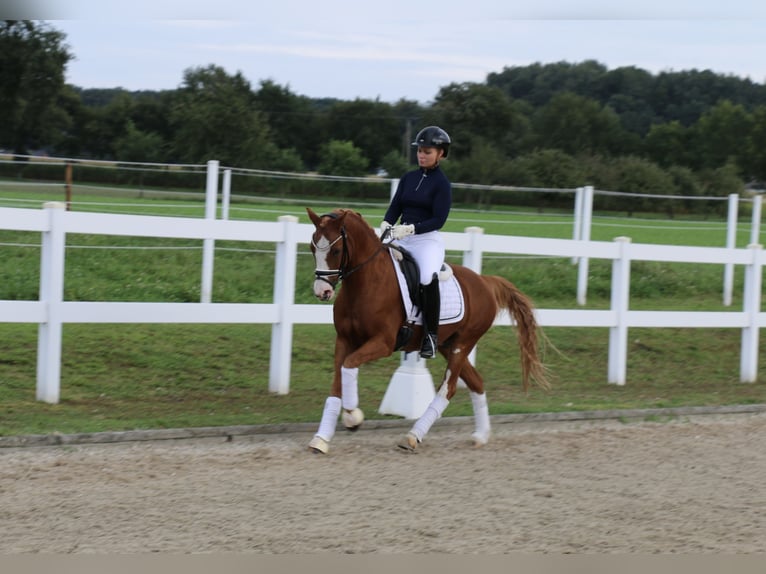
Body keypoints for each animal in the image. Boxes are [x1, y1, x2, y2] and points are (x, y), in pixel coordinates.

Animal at [306, 207, 544, 454]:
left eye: (336, 250)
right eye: (312, 248)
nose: (322, 291)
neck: (366, 282)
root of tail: (484, 281)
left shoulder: (383, 342)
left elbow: (349, 365)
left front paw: (353, 416)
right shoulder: (344, 340)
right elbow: (337, 384)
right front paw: (321, 439)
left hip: (462, 345)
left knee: (448, 389)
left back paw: (413, 436)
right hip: (448, 345)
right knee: (476, 382)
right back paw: (481, 435)